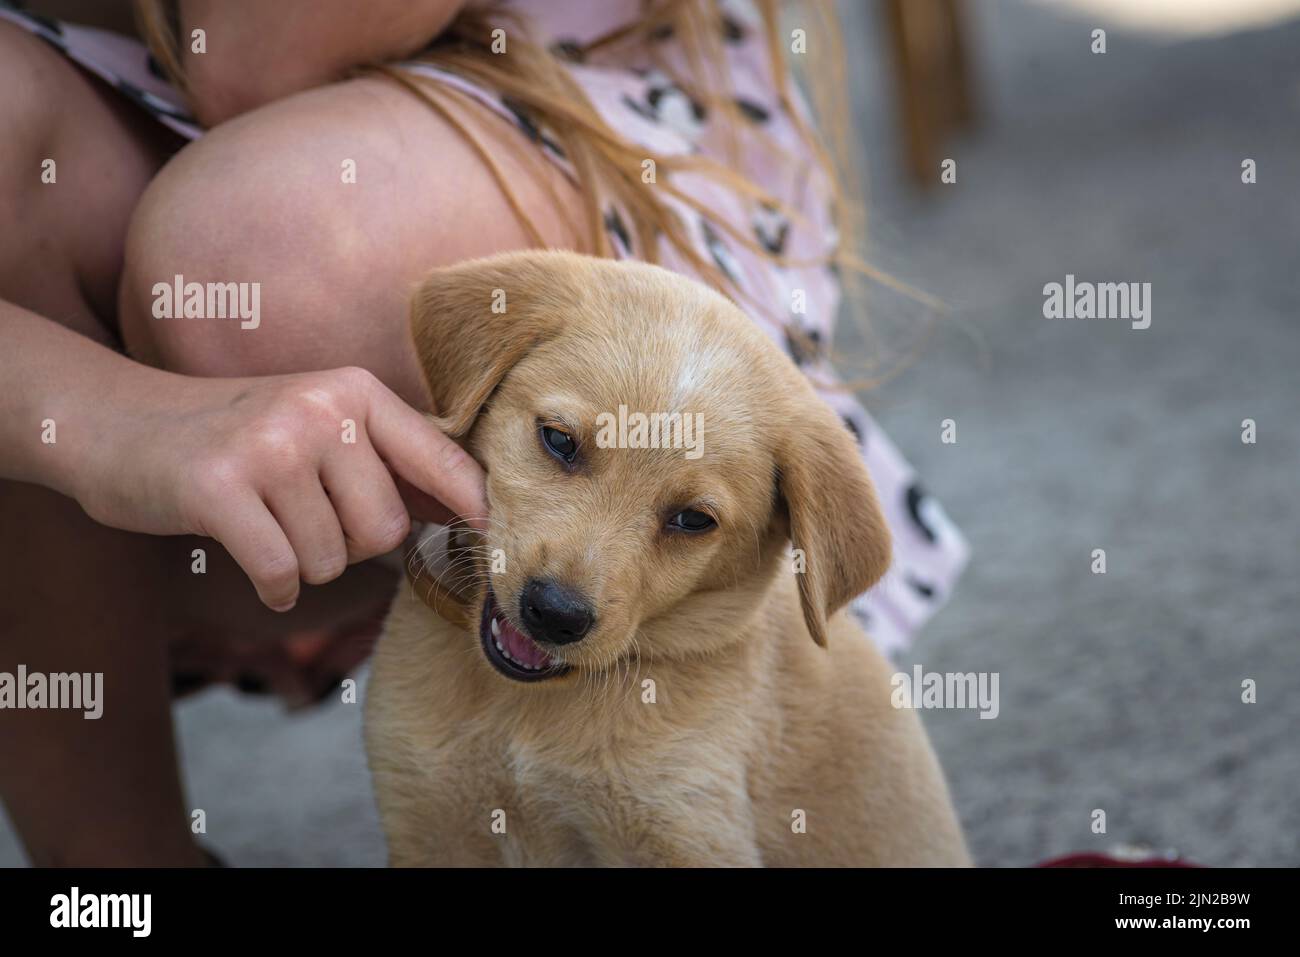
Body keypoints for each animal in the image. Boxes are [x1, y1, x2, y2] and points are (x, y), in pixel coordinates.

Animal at [364, 250, 967, 863]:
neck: (525, 710)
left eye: (693, 520)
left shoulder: (686, 829)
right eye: (558, 441)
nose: (556, 614)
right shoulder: (428, 821)